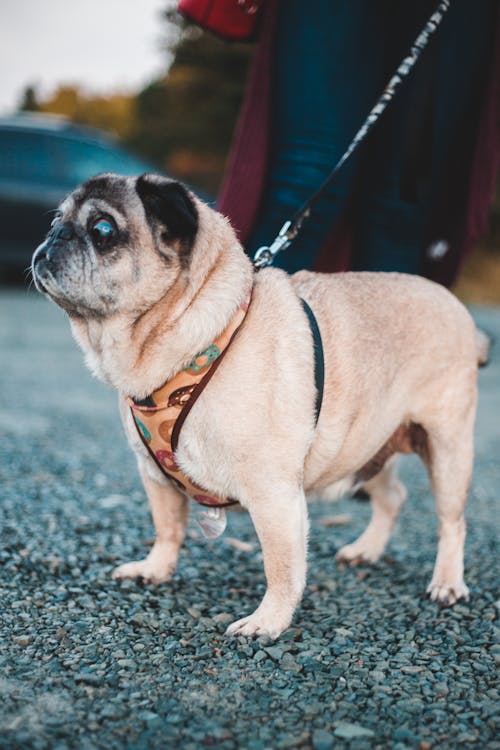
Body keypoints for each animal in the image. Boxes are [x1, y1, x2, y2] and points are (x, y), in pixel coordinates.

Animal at [30, 175, 484, 640]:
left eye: (102, 230)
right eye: (56, 219)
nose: (55, 235)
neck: (199, 339)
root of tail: (459, 311)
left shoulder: (275, 495)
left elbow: (281, 567)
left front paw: (268, 621)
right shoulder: (154, 477)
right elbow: (167, 529)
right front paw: (155, 569)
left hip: (446, 448)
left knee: (452, 521)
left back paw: (447, 583)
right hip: (364, 444)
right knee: (392, 496)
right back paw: (366, 550)